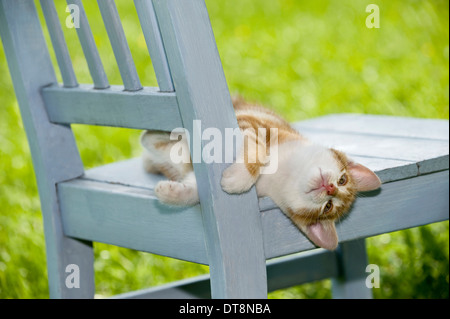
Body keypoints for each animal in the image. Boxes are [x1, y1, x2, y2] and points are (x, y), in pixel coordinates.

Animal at [141, 97, 380, 250]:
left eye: (328, 207)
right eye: (343, 179)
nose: (330, 188)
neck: (281, 171)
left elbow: (196, 190)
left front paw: (171, 193)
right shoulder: (254, 121)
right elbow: (260, 151)